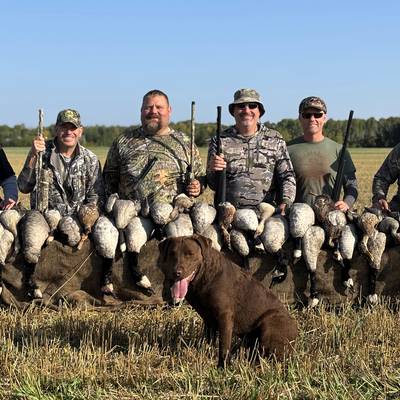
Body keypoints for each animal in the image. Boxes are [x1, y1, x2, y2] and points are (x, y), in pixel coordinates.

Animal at [158, 234, 298, 368]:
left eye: (190, 254)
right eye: (172, 254)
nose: (176, 272)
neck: (205, 276)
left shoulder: (224, 316)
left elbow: (224, 345)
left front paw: (222, 367)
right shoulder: (208, 320)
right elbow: (209, 341)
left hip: (269, 323)